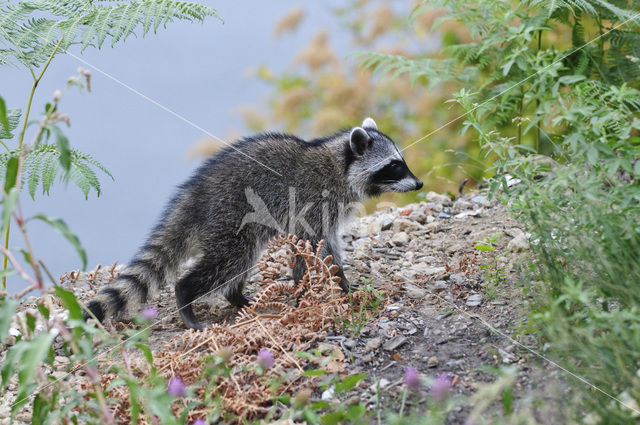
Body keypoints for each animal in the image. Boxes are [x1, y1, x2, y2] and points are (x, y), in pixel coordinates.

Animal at [86, 116, 424, 328]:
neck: (339, 165)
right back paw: (187, 296)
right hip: (230, 215)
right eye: (393, 165)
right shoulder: (311, 203)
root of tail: (195, 192)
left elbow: (324, 247)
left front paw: (339, 282)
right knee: (229, 261)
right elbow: (310, 247)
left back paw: (236, 295)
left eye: (401, 161)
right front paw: (316, 288)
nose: (419, 183)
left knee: (241, 260)